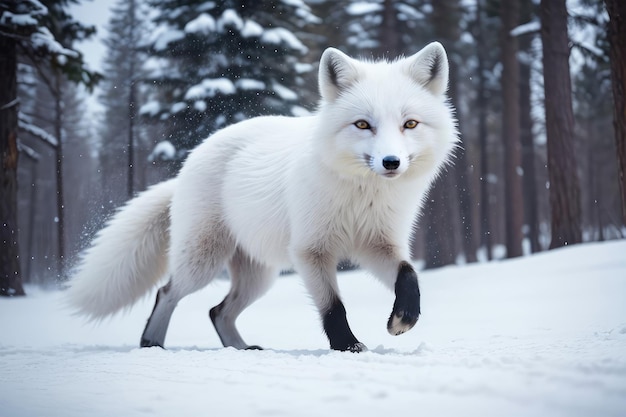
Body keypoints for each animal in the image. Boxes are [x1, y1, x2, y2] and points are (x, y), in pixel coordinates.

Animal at [68, 42, 456, 350]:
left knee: (217, 311)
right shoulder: (310, 250)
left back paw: (240, 349)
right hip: (203, 262)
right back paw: (151, 343)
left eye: (410, 124)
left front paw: (403, 318)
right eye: (363, 124)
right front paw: (347, 346)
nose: (391, 162)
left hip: (259, 276)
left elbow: (409, 274)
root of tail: (189, 162)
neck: (361, 197)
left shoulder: (376, 245)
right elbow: (334, 307)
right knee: (168, 293)